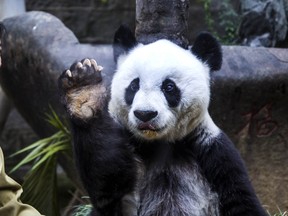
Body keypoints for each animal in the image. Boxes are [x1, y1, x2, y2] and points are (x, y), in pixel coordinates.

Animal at [58, 25, 268, 216]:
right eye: (134, 86)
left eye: (169, 87)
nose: (145, 114)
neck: (159, 143)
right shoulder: (129, 144)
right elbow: (109, 184)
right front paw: (84, 89)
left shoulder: (212, 151)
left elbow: (241, 201)